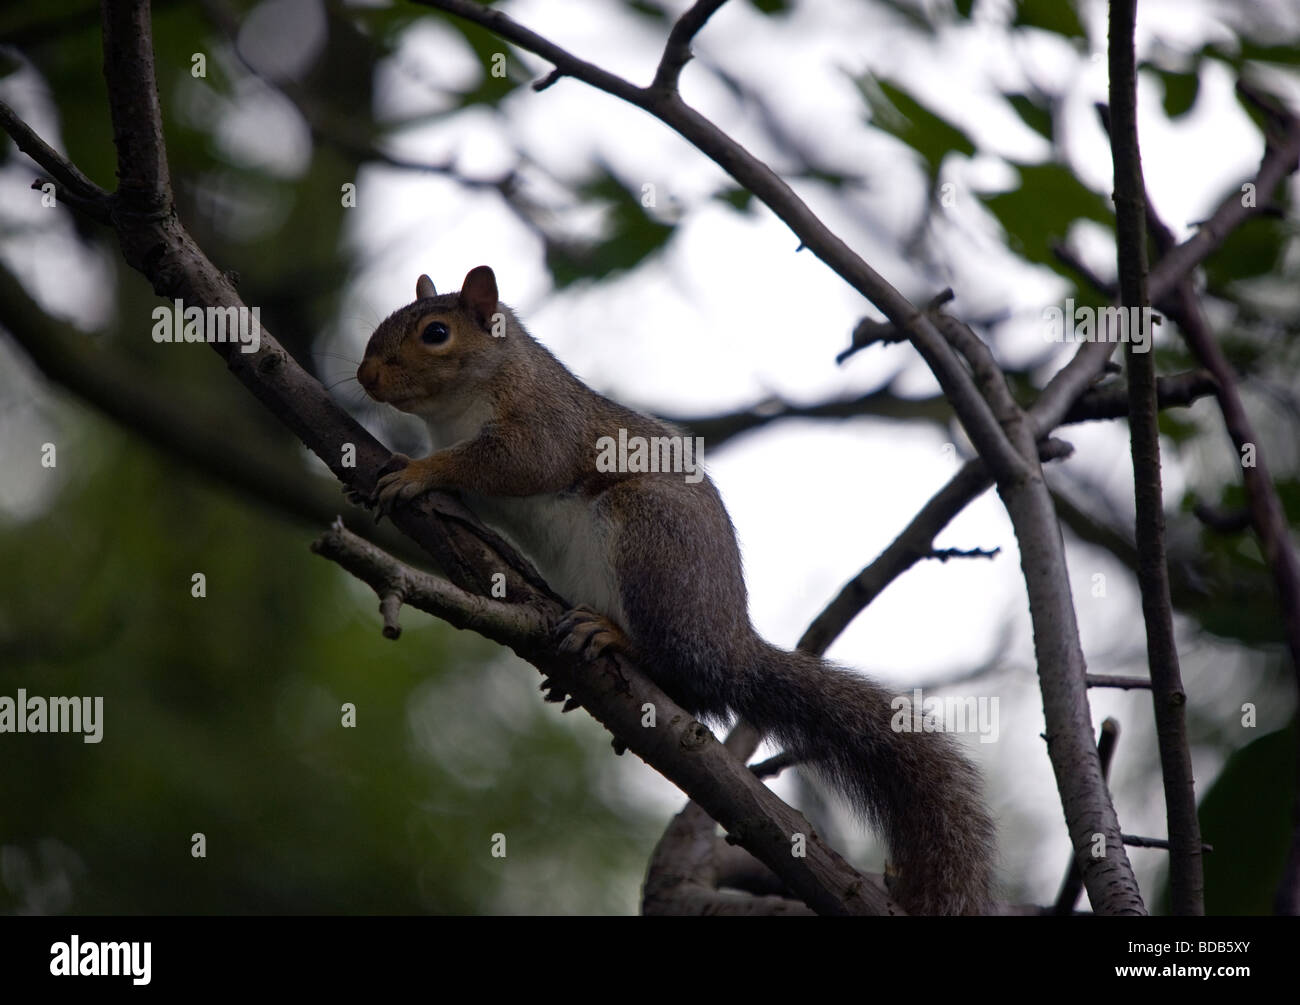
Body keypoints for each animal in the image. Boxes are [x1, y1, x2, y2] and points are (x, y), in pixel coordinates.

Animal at [356, 262, 993, 915]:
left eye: (436, 333)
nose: (365, 375)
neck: (462, 403)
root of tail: (730, 643)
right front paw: (408, 461)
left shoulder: (542, 422)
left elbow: (519, 463)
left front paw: (417, 471)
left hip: (648, 537)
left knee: (681, 666)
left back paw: (613, 637)